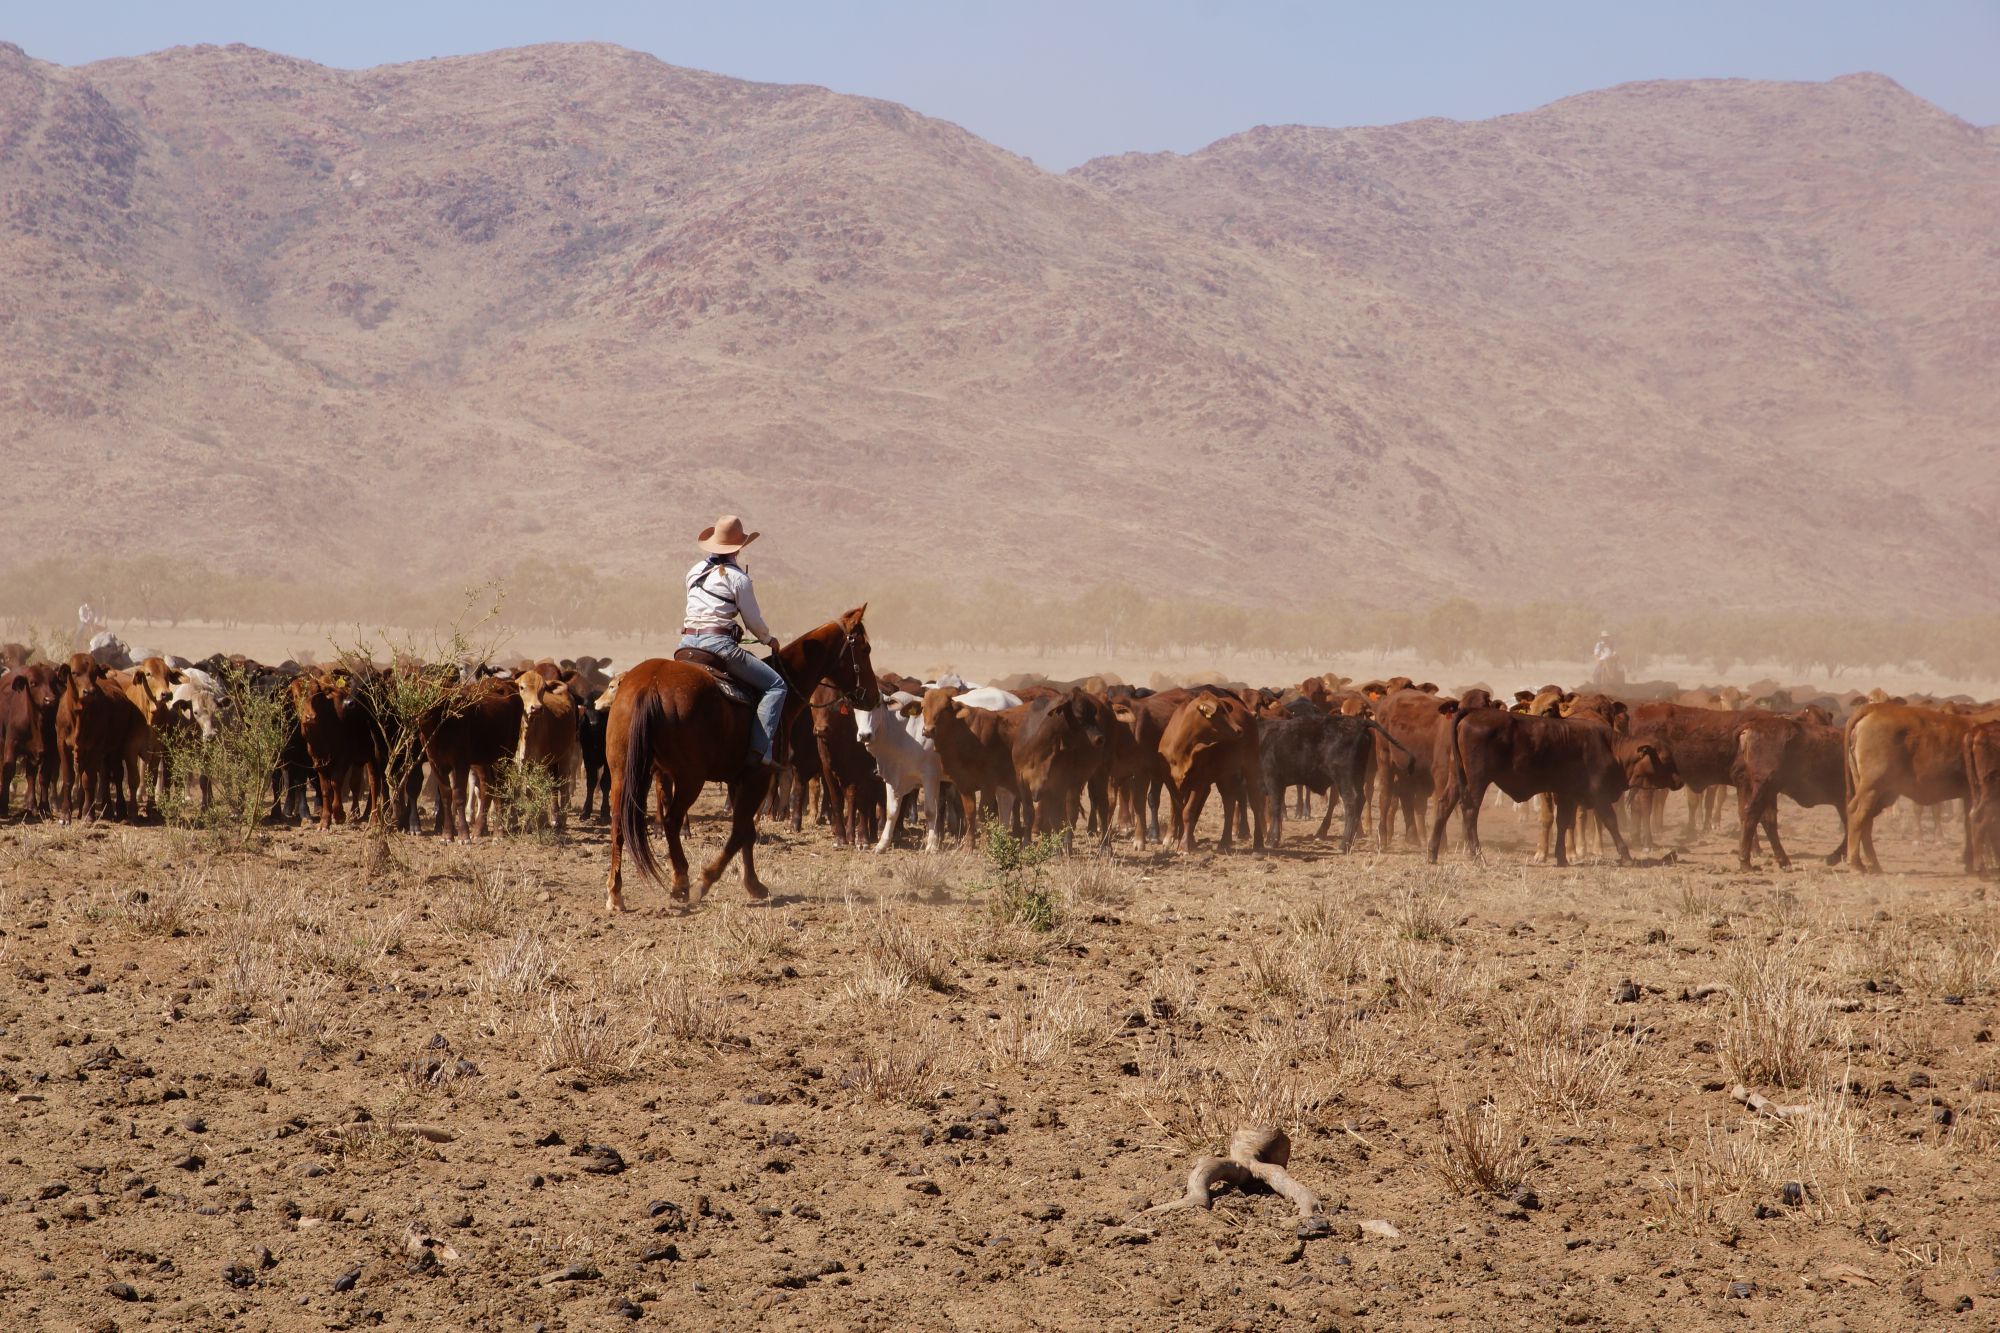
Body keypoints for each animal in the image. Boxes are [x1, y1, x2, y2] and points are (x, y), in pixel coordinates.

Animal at [605, 607, 879, 911]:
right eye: (865, 648)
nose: (873, 697)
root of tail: (649, 685)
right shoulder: (758, 775)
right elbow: (739, 831)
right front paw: (706, 881)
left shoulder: (738, 779)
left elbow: (746, 831)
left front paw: (753, 884)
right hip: (689, 778)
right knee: (672, 821)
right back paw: (682, 883)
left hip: (624, 772)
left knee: (618, 821)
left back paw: (616, 892)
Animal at [1158, 694, 1264, 854]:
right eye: (1220, 711)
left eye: (1226, 710)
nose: (1239, 730)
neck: (1182, 749)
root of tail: (1248, 713)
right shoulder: (1171, 782)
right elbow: (1178, 810)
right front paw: (1181, 841)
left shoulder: (1199, 782)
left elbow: (1188, 812)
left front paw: (1184, 846)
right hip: (1225, 774)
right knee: (1229, 802)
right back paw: (1224, 841)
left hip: (1251, 765)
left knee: (1254, 800)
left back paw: (1258, 842)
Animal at [1428, 705, 1681, 866]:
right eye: (1665, 758)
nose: (1679, 780)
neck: (1611, 748)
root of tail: (1473, 712)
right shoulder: (1598, 796)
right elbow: (1611, 822)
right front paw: (1626, 856)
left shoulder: (1567, 795)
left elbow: (1563, 822)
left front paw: (1561, 857)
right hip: (1477, 781)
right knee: (1470, 811)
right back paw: (1477, 856)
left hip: (1456, 779)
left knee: (1443, 806)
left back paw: (1432, 854)